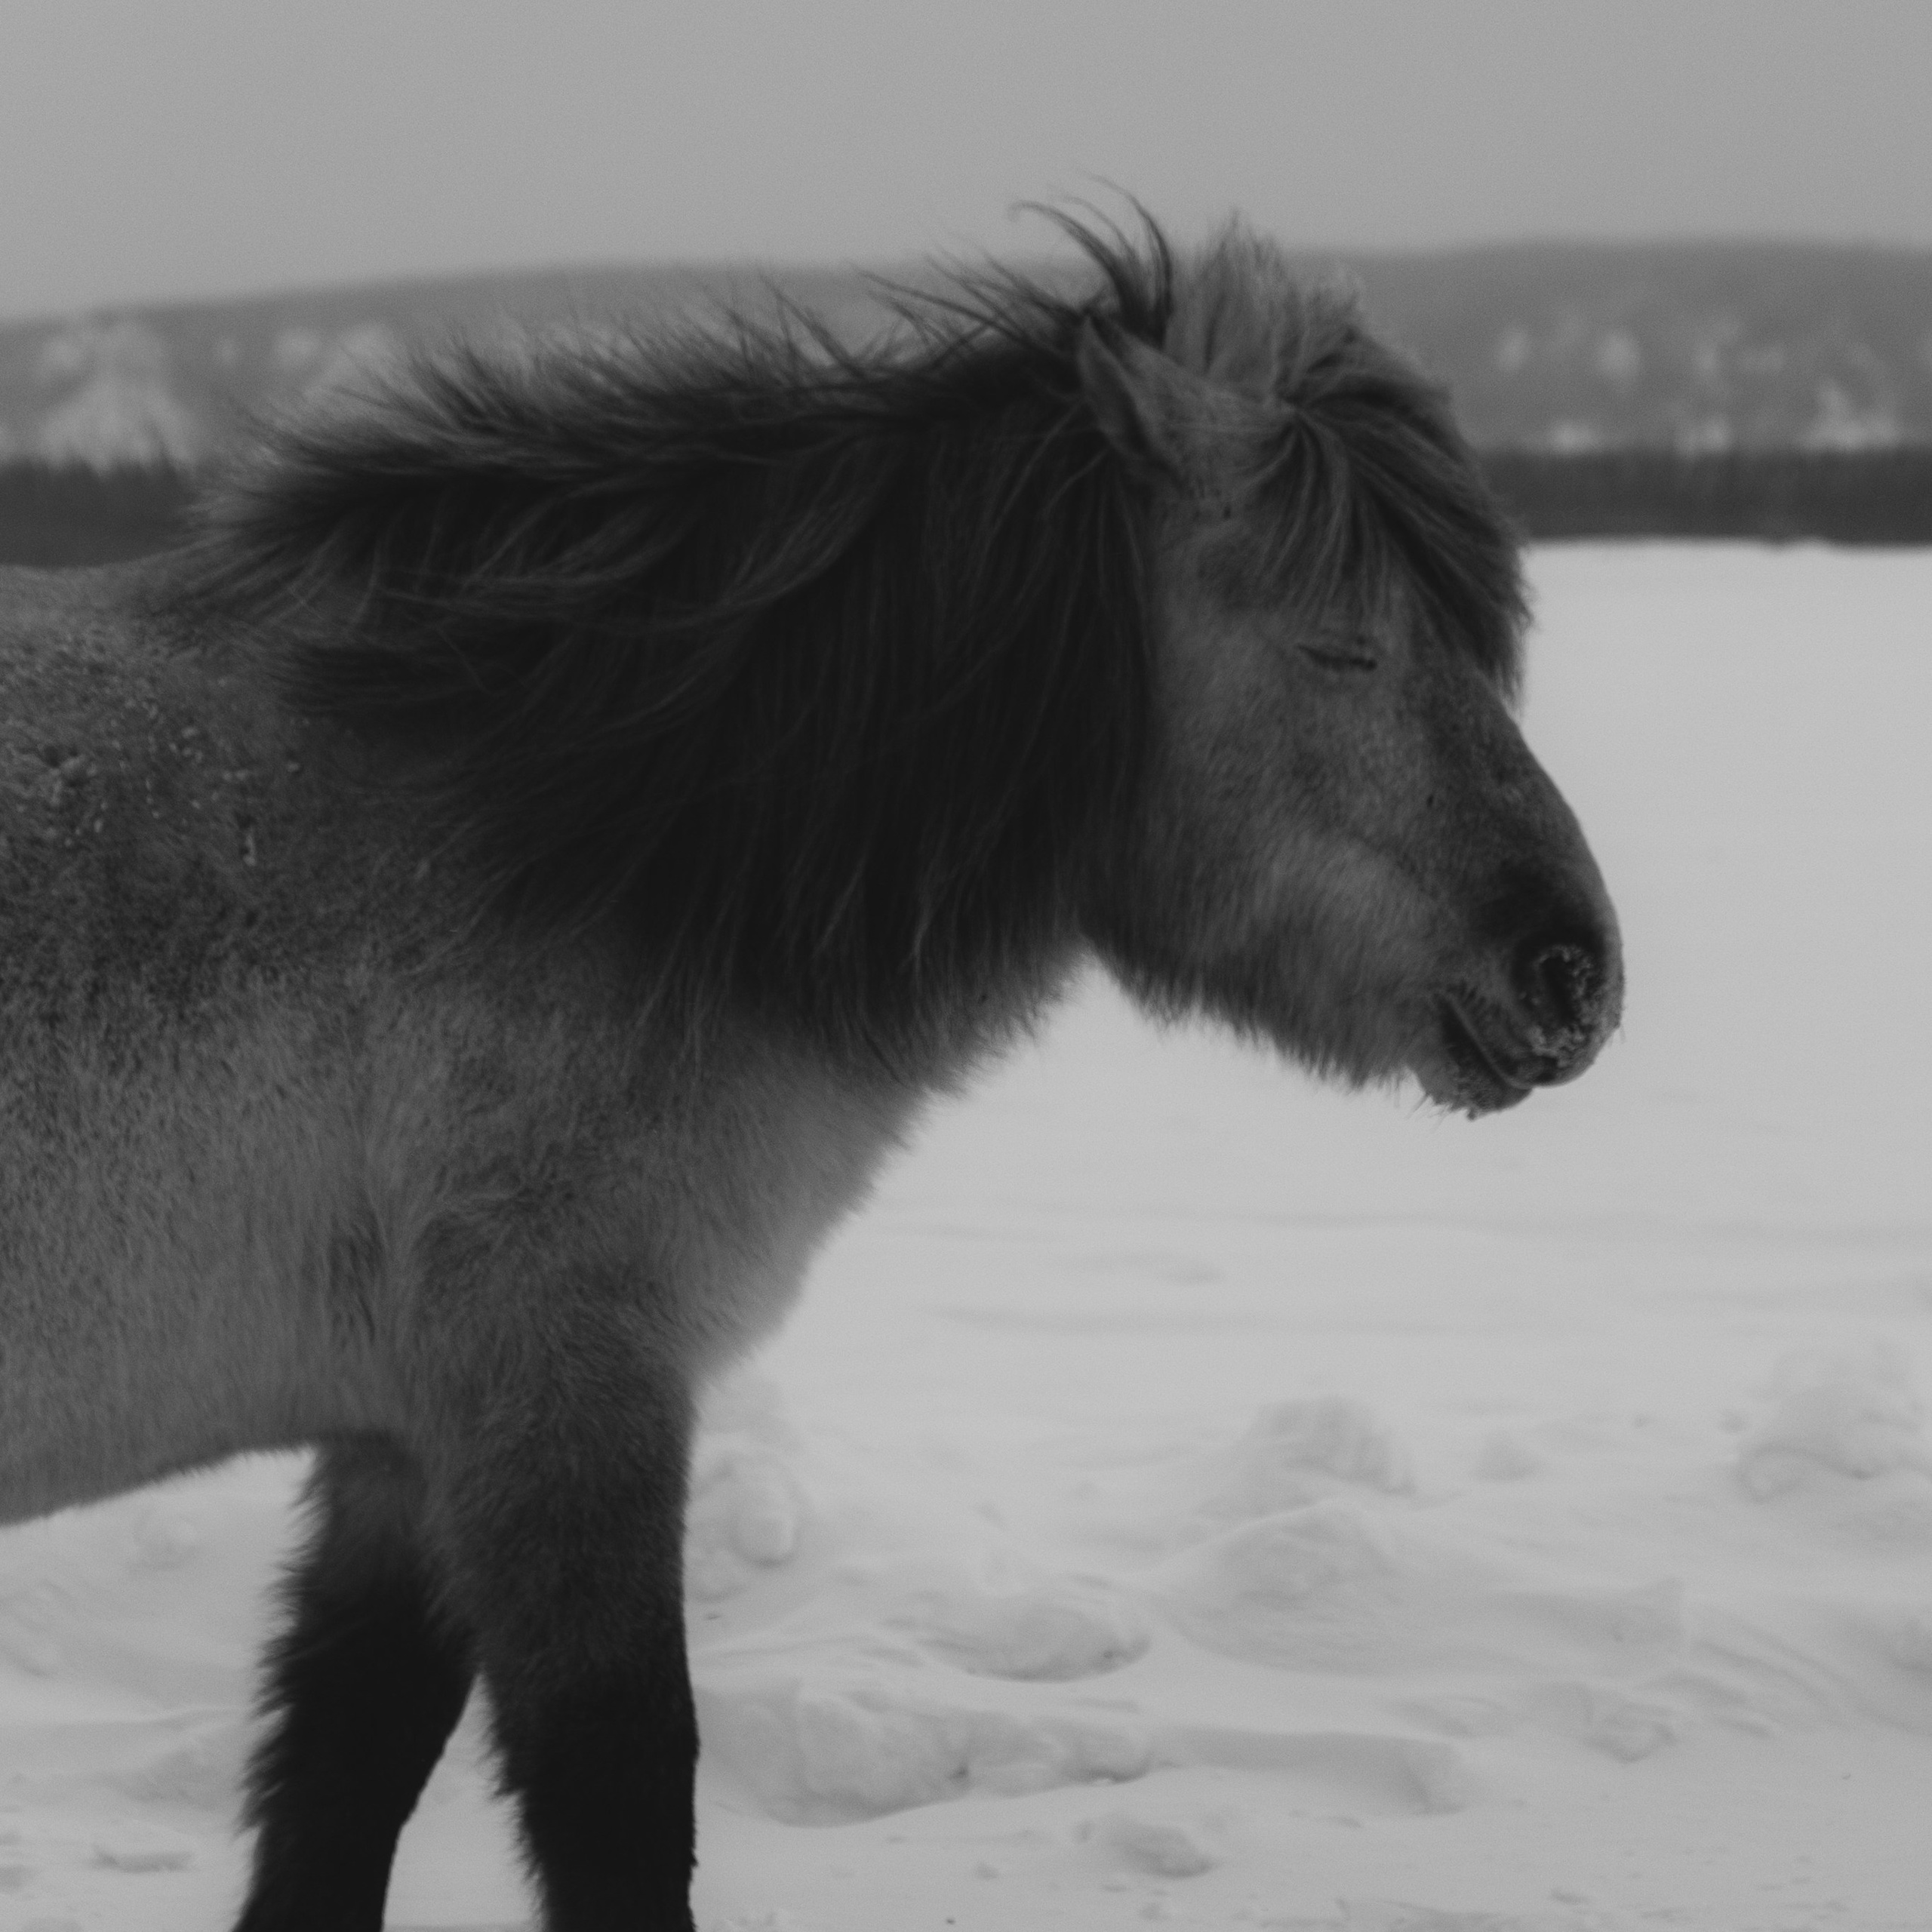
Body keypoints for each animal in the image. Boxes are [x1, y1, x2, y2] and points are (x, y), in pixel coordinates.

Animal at [0, 213, 1621, 1930]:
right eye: (1340, 643)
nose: (1571, 971)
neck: (584, 841)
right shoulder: (562, 1378)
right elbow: (615, 1789)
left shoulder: (408, 1430)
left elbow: (341, 1777)